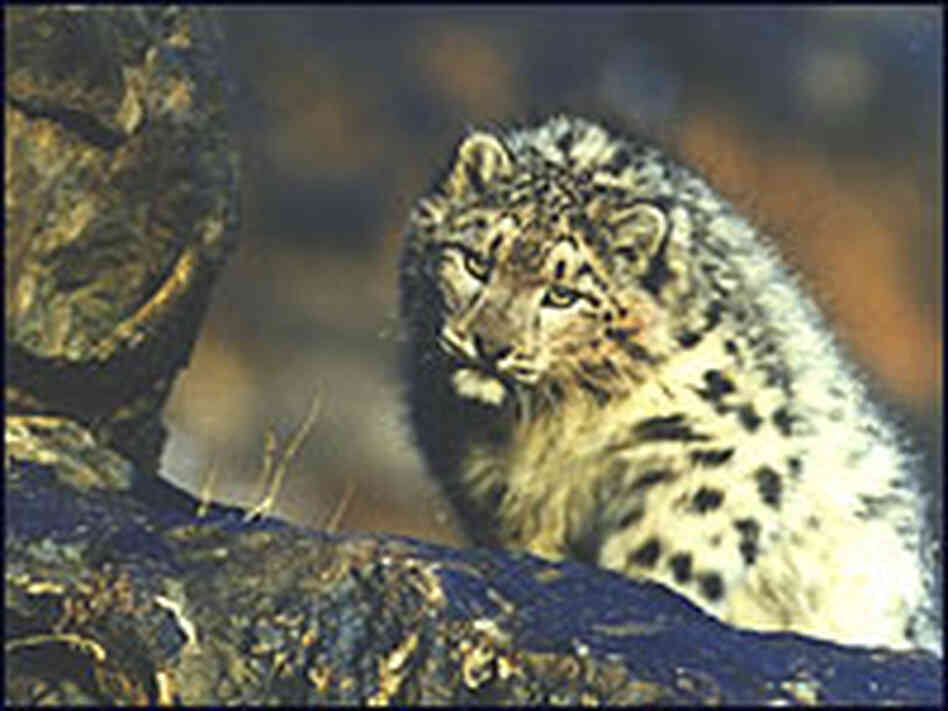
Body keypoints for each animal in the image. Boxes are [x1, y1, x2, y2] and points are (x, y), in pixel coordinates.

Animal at [398, 114, 941, 655]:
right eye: (475, 262)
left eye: (562, 295)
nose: (489, 345)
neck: (542, 426)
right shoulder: (496, 486)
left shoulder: (719, 441)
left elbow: (673, 548)